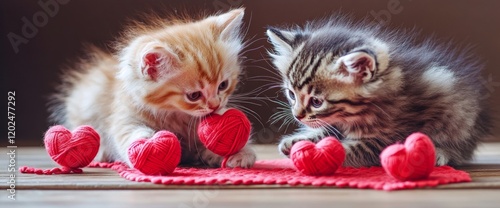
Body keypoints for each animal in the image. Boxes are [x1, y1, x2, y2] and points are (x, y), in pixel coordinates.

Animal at [268, 16, 490, 167]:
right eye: (291, 94)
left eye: (316, 101)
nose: (297, 115)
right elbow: (329, 129)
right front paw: (297, 140)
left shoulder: (393, 134)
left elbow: (353, 148)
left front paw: (319, 155)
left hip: (458, 119)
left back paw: (442, 153)